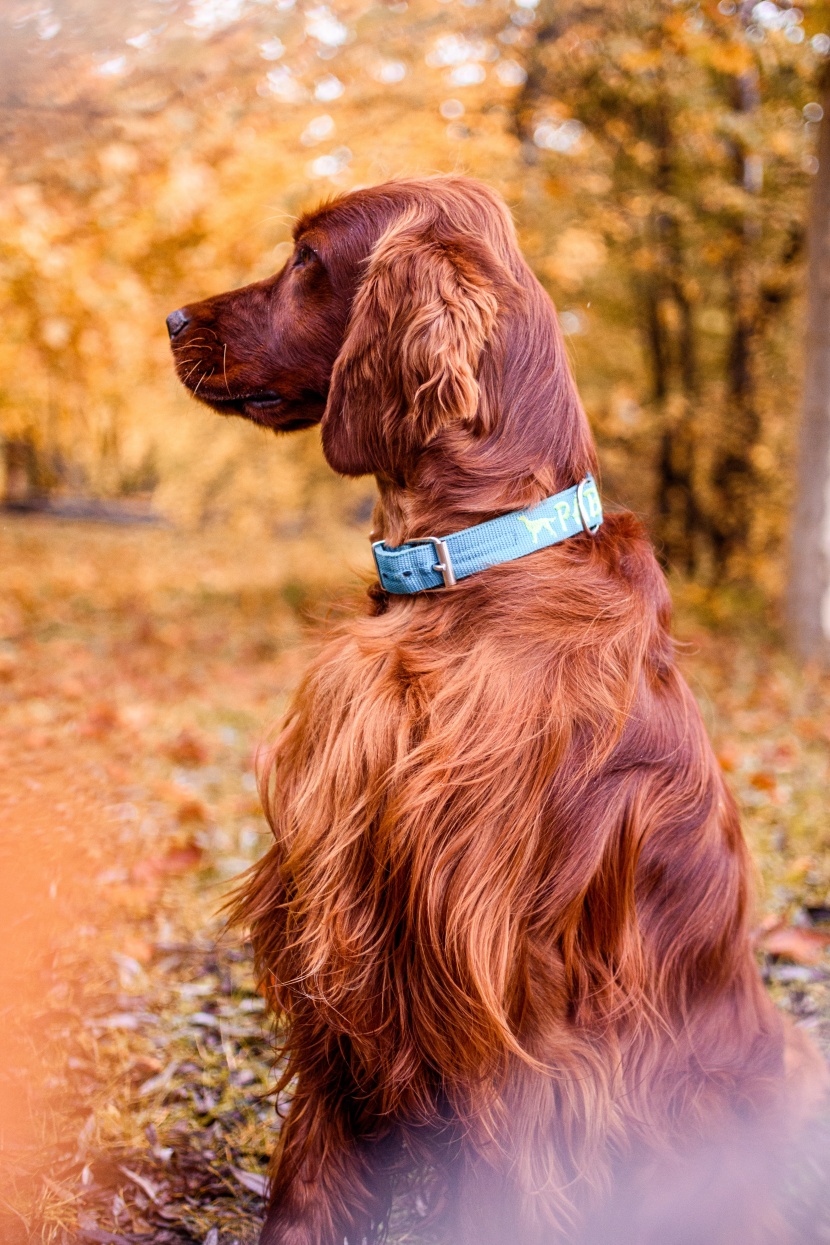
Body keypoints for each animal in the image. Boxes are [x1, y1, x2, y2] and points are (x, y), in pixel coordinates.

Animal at [166, 178, 826, 1245]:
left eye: (306, 258)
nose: (174, 319)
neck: (477, 563)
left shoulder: (507, 998)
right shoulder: (344, 941)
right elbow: (309, 1161)